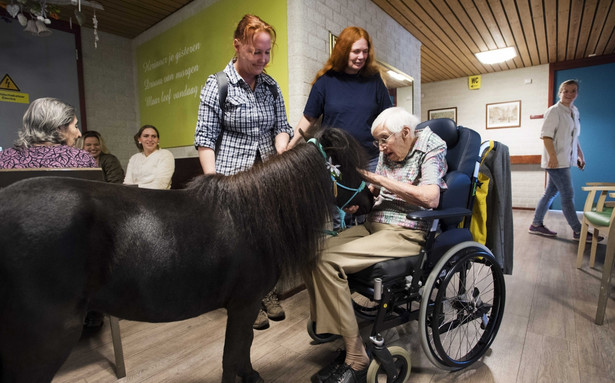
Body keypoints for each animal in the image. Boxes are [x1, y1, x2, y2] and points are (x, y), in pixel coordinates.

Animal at [0, 127, 370, 382]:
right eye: (351, 163)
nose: (372, 201)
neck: (253, 215)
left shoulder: (247, 306)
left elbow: (245, 345)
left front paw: (251, 375)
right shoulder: (243, 304)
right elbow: (231, 354)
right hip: (47, 341)